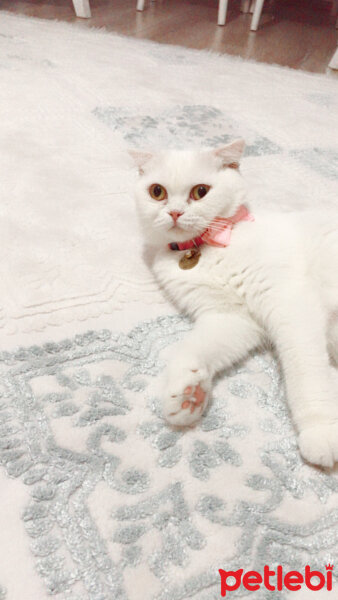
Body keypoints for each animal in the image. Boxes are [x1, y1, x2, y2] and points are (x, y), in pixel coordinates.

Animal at [131, 141, 338, 468]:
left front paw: (320, 430)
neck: (207, 248)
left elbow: (305, 372)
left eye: (201, 191)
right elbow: (190, 349)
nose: (175, 212)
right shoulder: (228, 317)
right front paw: (187, 394)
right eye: (157, 192)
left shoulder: (290, 304)